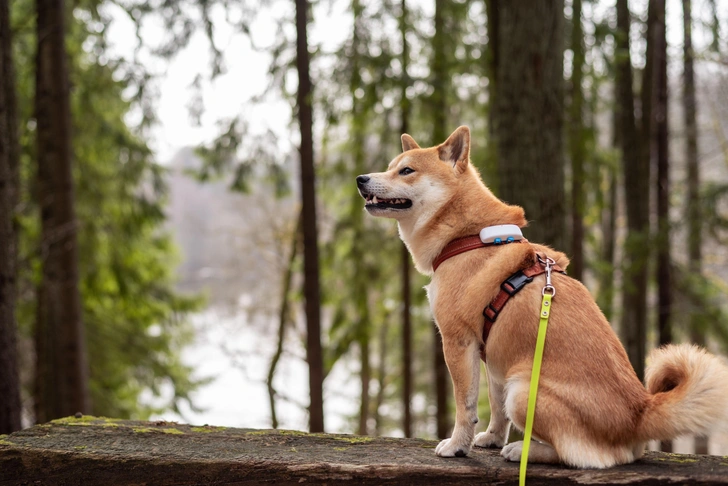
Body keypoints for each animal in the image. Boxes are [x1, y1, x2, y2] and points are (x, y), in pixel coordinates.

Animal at [356, 124, 728, 468]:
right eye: (391, 167)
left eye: (406, 170)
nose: (361, 178)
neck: (467, 236)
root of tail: (639, 413)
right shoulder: (493, 357)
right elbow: (495, 408)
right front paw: (490, 437)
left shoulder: (458, 342)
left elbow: (465, 405)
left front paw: (458, 446)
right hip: (515, 379)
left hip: (523, 390)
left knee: (581, 456)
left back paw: (524, 450)